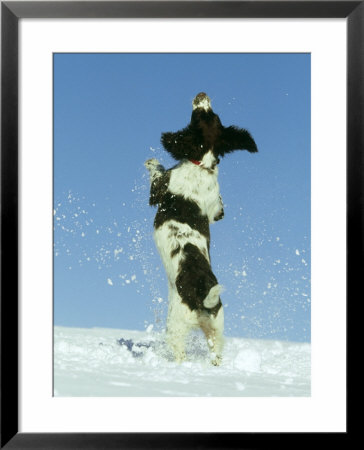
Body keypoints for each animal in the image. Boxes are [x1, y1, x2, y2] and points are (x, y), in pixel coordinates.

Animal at [144, 93, 258, 364]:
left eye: (199, 116)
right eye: (213, 116)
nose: (202, 95)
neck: (201, 164)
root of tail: (201, 295)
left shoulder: (161, 189)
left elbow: (158, 173)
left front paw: (151, 161)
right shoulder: (215, 206)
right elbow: (218, 209)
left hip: (175, 326)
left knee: (180, 353)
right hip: (216, 326)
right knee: (216, 352)